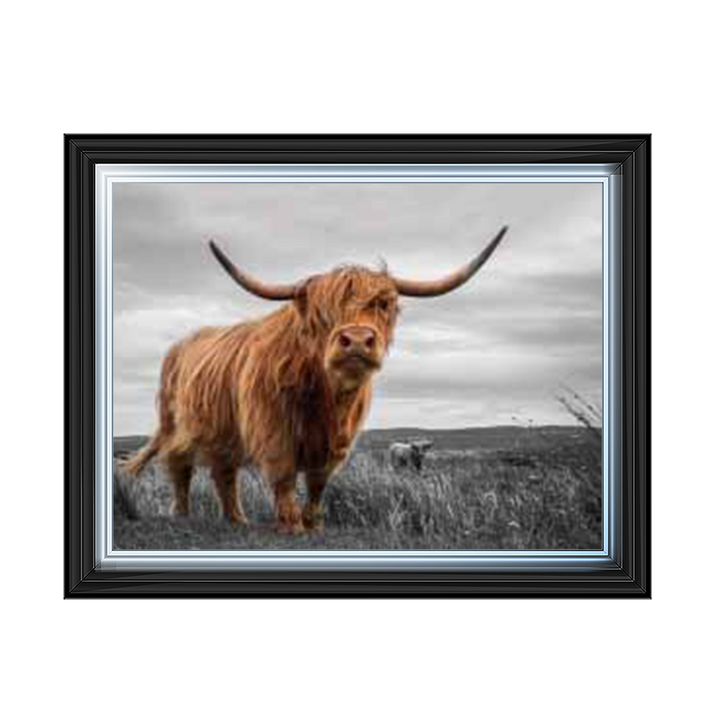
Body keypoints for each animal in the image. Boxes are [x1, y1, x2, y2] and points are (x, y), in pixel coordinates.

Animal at [123, 226, 508, 533]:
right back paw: (182, 514)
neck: (326, 395)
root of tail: (181, 344)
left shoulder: (336, 441)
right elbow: (283, 476)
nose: (356, 340)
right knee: (180, 466)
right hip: (176, 424)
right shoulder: (272, 429)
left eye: (383, 304)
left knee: (224, 472)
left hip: (223, 431)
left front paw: (312, 523)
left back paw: (236, 519)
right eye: (324, 312)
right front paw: (292, 525)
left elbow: (318, 483)